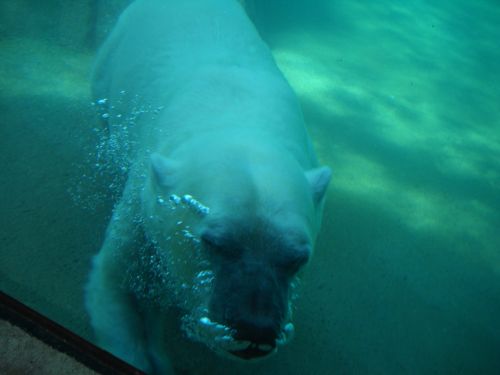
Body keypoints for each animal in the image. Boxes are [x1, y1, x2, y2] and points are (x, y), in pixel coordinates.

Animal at [84, 0, 330, 374]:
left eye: (297, 258)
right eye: (214, 243)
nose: (255, 330)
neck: (236, 119)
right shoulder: (145, 207)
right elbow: (120, 283)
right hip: (112, 57)